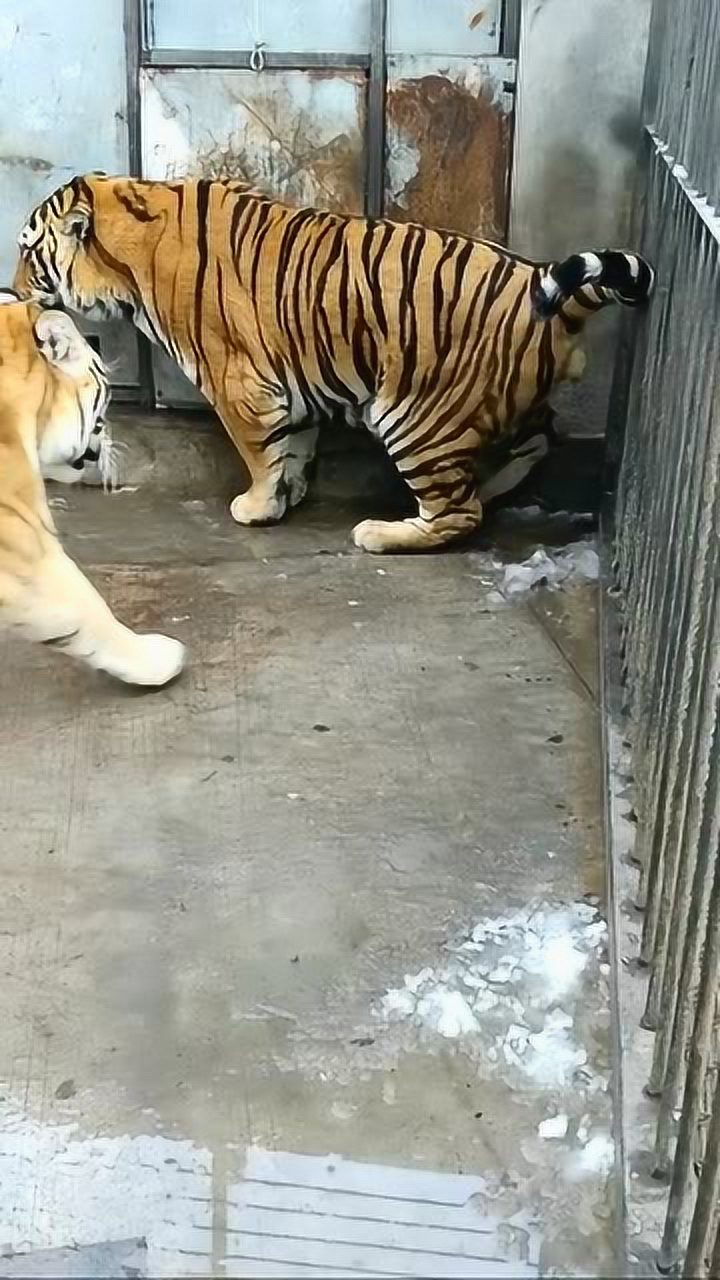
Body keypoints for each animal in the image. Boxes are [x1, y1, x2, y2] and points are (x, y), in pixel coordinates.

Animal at [13, 173, 655, 553]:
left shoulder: (239, 384)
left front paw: (258, 506)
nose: (14, 292)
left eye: (27, 251)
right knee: (537, 443)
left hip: (414, 418)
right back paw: (495, 484)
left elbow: (260, 453)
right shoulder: (287, 384)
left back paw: (383, 532)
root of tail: (537, 282)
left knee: (459, 512)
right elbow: (292, 445)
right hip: (503, 401)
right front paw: (289, 492)